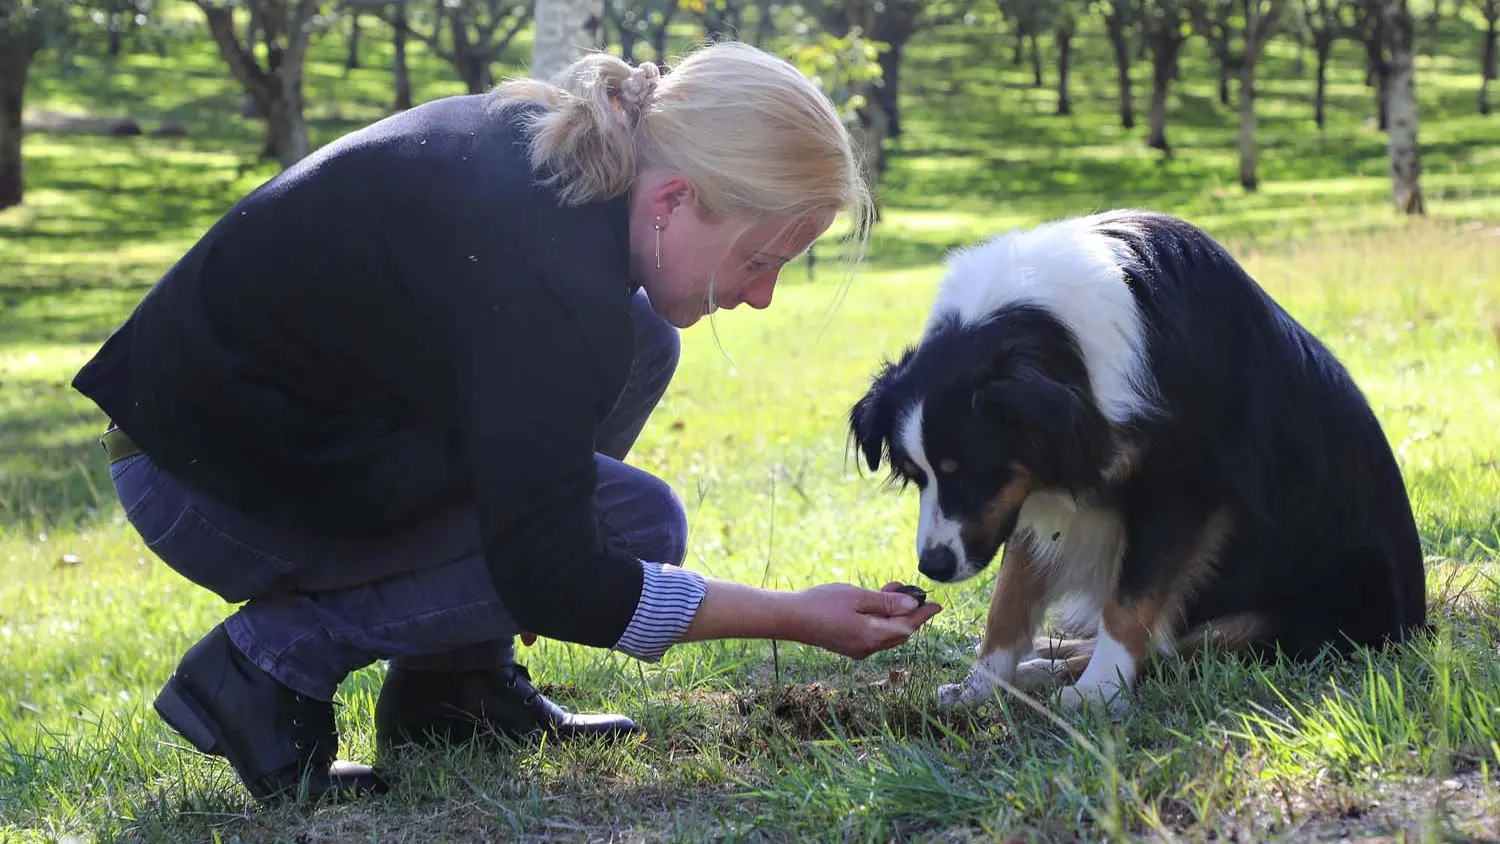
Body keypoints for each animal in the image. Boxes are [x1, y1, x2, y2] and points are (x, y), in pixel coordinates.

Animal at [852, 209, 1422, 713]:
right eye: (916, 476)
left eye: (973, 473)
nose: (933, 567)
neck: (1062, 341)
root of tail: (1416, 626)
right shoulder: (1041, 492)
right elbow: (1008, 598)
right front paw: (981, 686)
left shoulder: (1183, 491)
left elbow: (1128, 604)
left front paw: (1098, 691)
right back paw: (1047, 663)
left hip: (1278, 620)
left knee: (1176, 649)